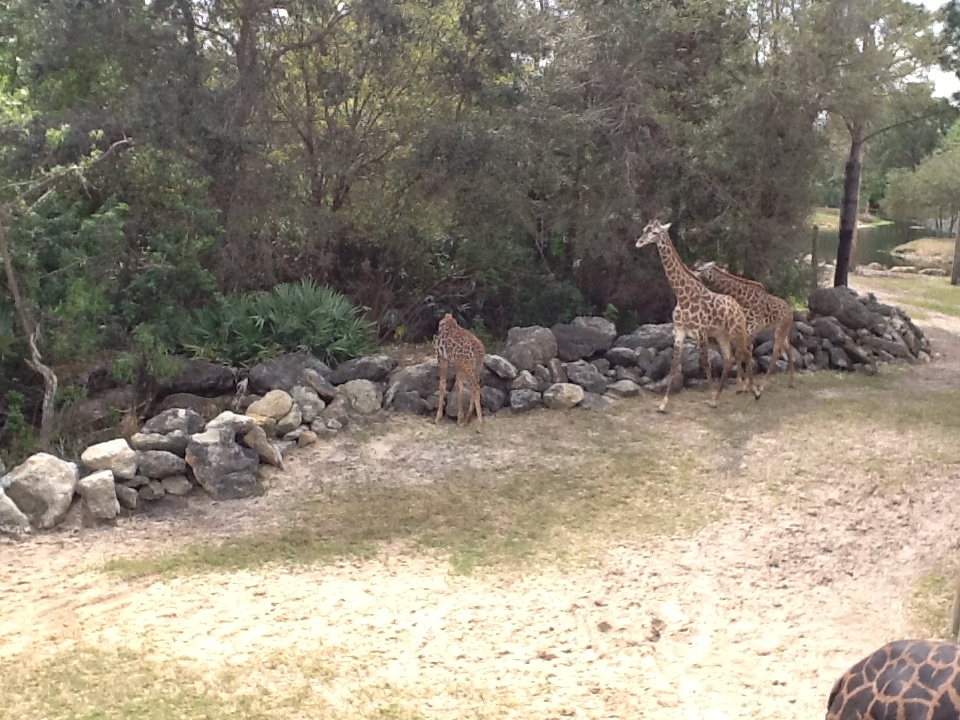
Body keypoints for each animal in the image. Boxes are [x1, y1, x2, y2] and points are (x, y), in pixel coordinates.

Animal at [634, 218, 757, 413]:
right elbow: (674, 365)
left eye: (654, 232)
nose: (638, 242)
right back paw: (722, 395)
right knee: (729, 357)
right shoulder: (679, 331)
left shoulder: (701, 332)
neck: (682, 295)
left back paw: (754, 391)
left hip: (737, 331)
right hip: (721, 334)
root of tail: (738, 307)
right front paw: (663, 403)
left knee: (745, 352)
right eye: (645, 229)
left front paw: (711, 396)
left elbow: (706, 363)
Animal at [692, 259, 795, 397]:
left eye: (698, 269)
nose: (692, 275)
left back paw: (762, 386)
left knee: (776, 352)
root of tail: (791, 312)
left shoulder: (754, 328)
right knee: (789, 348)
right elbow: (744, 352)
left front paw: (743, 386)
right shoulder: (746, 328)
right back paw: (791, 381)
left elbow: (743, 352)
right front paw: (743, 386)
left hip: (780, 329)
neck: (743, 298)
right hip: (781, 329)